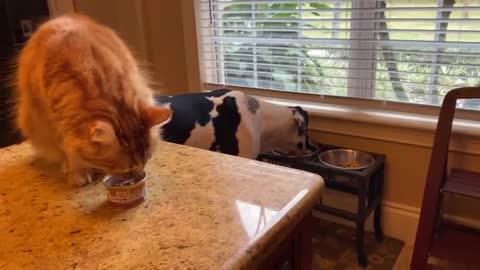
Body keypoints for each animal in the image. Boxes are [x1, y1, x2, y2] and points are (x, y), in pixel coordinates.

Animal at [15, 14, 171, 187]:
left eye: (146, 160)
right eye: (125, 169)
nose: (137, 176)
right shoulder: (56, 123)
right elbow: (70, 150)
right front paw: (78, 172)